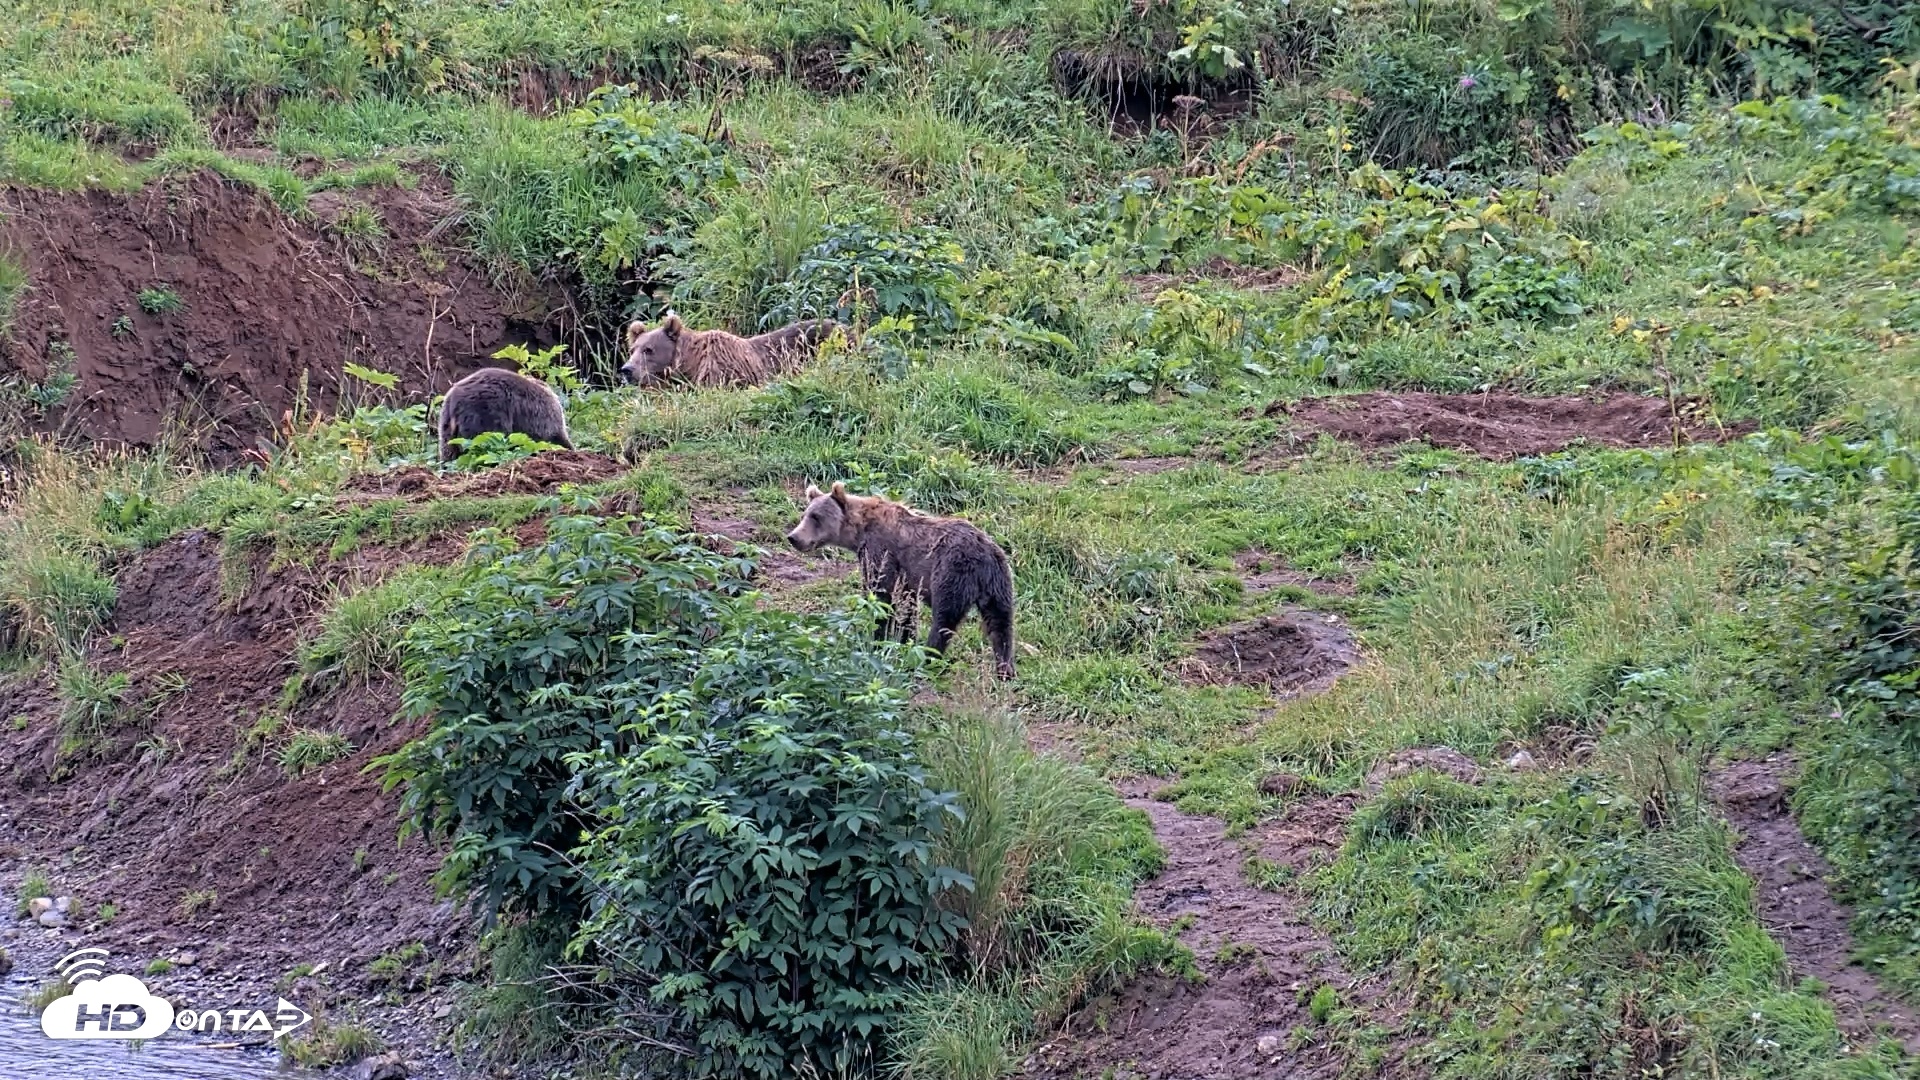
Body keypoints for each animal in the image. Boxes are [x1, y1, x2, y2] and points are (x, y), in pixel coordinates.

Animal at [786, 482, 1017, 680]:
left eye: (816, 517)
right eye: (805, 514)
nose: (793, 537)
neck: (858, 532)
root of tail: (983, 554)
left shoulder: (881, 553)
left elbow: (880, 598)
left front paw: (876, 641)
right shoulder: (907, 578)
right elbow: (907, 610)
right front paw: (904, 641)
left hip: (951, 573)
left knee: (944, 620)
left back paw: (928, 660)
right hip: (999, 581)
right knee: (1000, 624)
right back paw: (1005, 670)